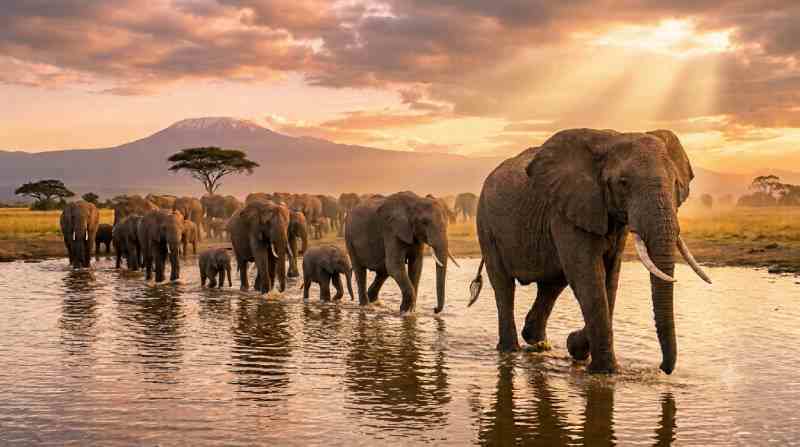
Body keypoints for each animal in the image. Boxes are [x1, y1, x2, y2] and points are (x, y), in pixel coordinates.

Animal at [468, 129, 711, 374]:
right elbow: (589, 277)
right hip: (486, 225)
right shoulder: (567, 210)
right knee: (504, 285)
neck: (612, 139)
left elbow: (610, 279)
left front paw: (576, 347)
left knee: (552, 284)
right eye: (623, 183)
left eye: (676, 182)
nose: (662, 368)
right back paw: (510, 350)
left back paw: (539, 343)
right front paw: (606, 371)